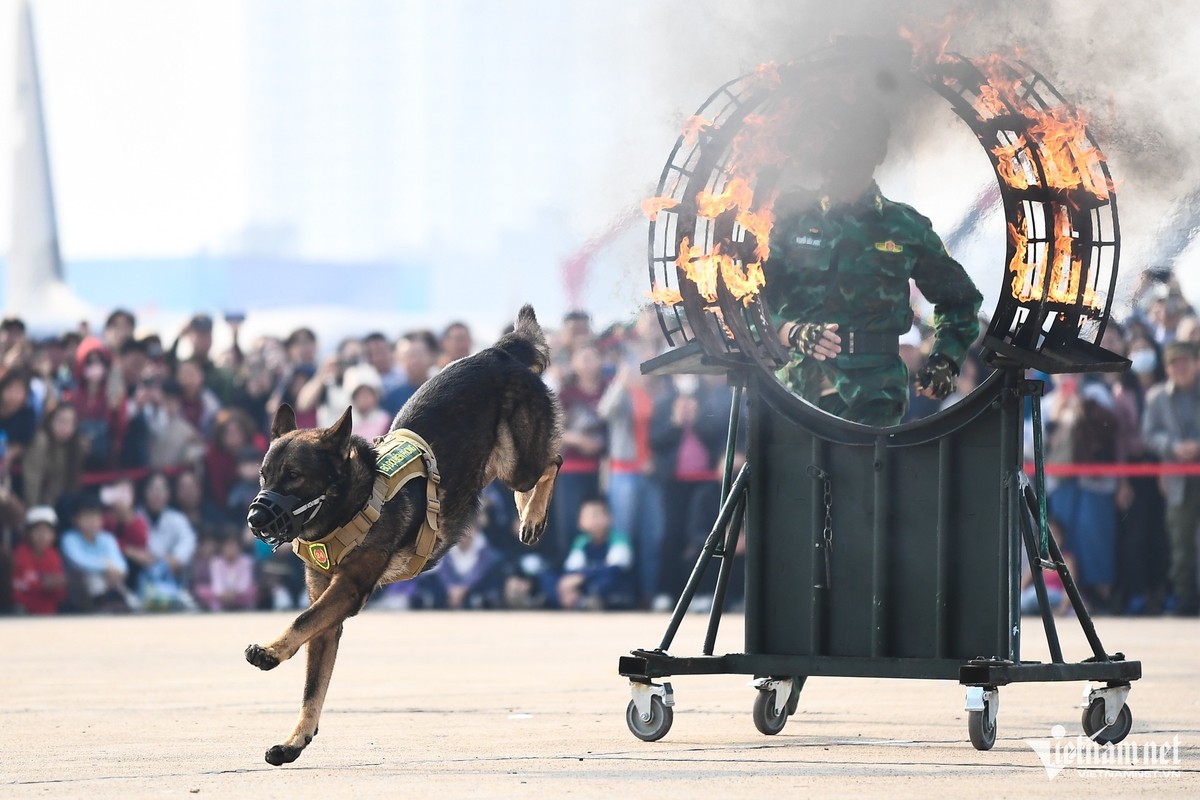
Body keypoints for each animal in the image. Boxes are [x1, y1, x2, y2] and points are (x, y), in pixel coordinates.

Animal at [244, 303, 566, 767]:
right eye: (264, 476)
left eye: (294, 477)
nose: (255, 516)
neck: (352, 500)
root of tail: (499, 351)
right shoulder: (328, 613)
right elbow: (312, 686)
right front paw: (295, 741)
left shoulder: (348, 589)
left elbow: (302, 619)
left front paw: (269, 652)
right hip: (499, 466)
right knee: (532, 478)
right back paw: (526, 513)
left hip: (516, 460)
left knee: (552, 462)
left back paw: (534, 515)